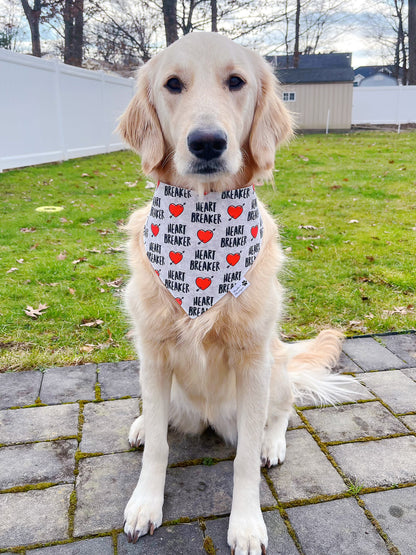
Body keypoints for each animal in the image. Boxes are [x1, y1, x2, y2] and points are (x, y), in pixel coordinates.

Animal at [118, 31, 354, 555]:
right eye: (172, 84)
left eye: (236, 82)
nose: (207, 142)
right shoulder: (153, 351)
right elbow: (160, 446)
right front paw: (145, 504)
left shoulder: (253, 359)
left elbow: (244, 459)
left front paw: (246, 524)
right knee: (161, 416)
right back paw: (143, 423)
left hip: (276, 368)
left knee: (282, 412)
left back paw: (272, 443)